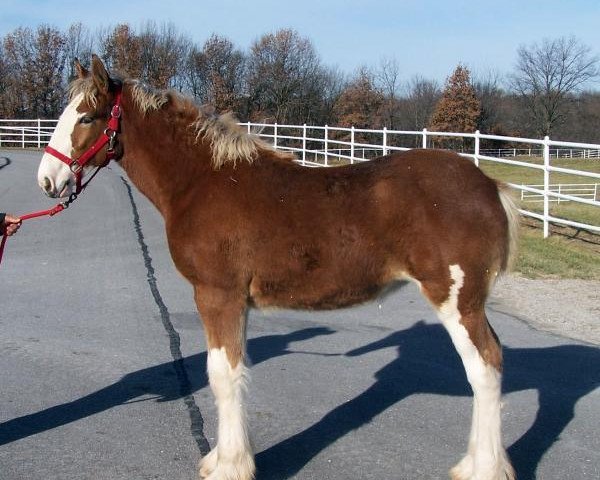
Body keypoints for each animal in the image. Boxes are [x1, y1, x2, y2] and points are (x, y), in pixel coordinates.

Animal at [36, 57, 516, 480]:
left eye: (86, 117)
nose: (47, 180)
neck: (203, 182)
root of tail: (489, 186)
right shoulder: (236, 302)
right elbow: (234, 371)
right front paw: (224, 459)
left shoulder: (218, 296)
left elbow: (222, 375)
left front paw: (229, 467)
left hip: (457, 300)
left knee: (485, 368)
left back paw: (485, 469)